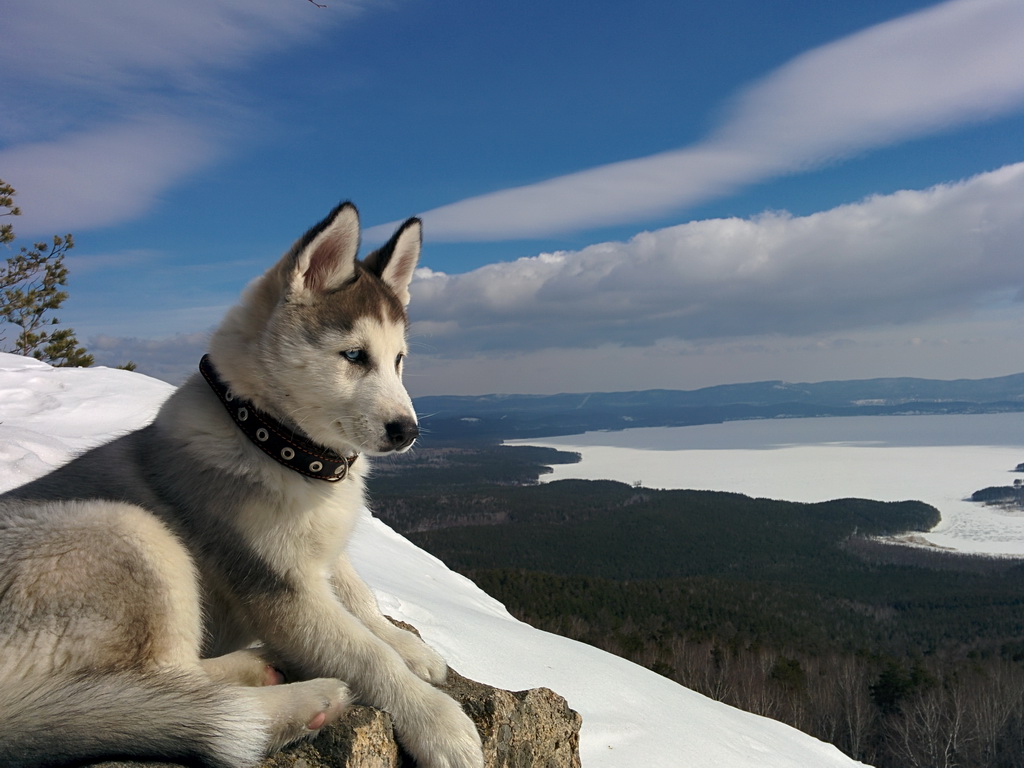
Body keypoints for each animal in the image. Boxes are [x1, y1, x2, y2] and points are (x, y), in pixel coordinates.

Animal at [0, 204, 483, 768]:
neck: (273, 442)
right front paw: (437, 721)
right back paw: (300, 700)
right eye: (354, 356)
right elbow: (367, 655)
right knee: (163, 693)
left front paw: (411, 649)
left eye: (399, 360)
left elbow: (361, 601)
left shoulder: (322, 552)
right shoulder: (278, 587)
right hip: (132, 532)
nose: (408, 431)